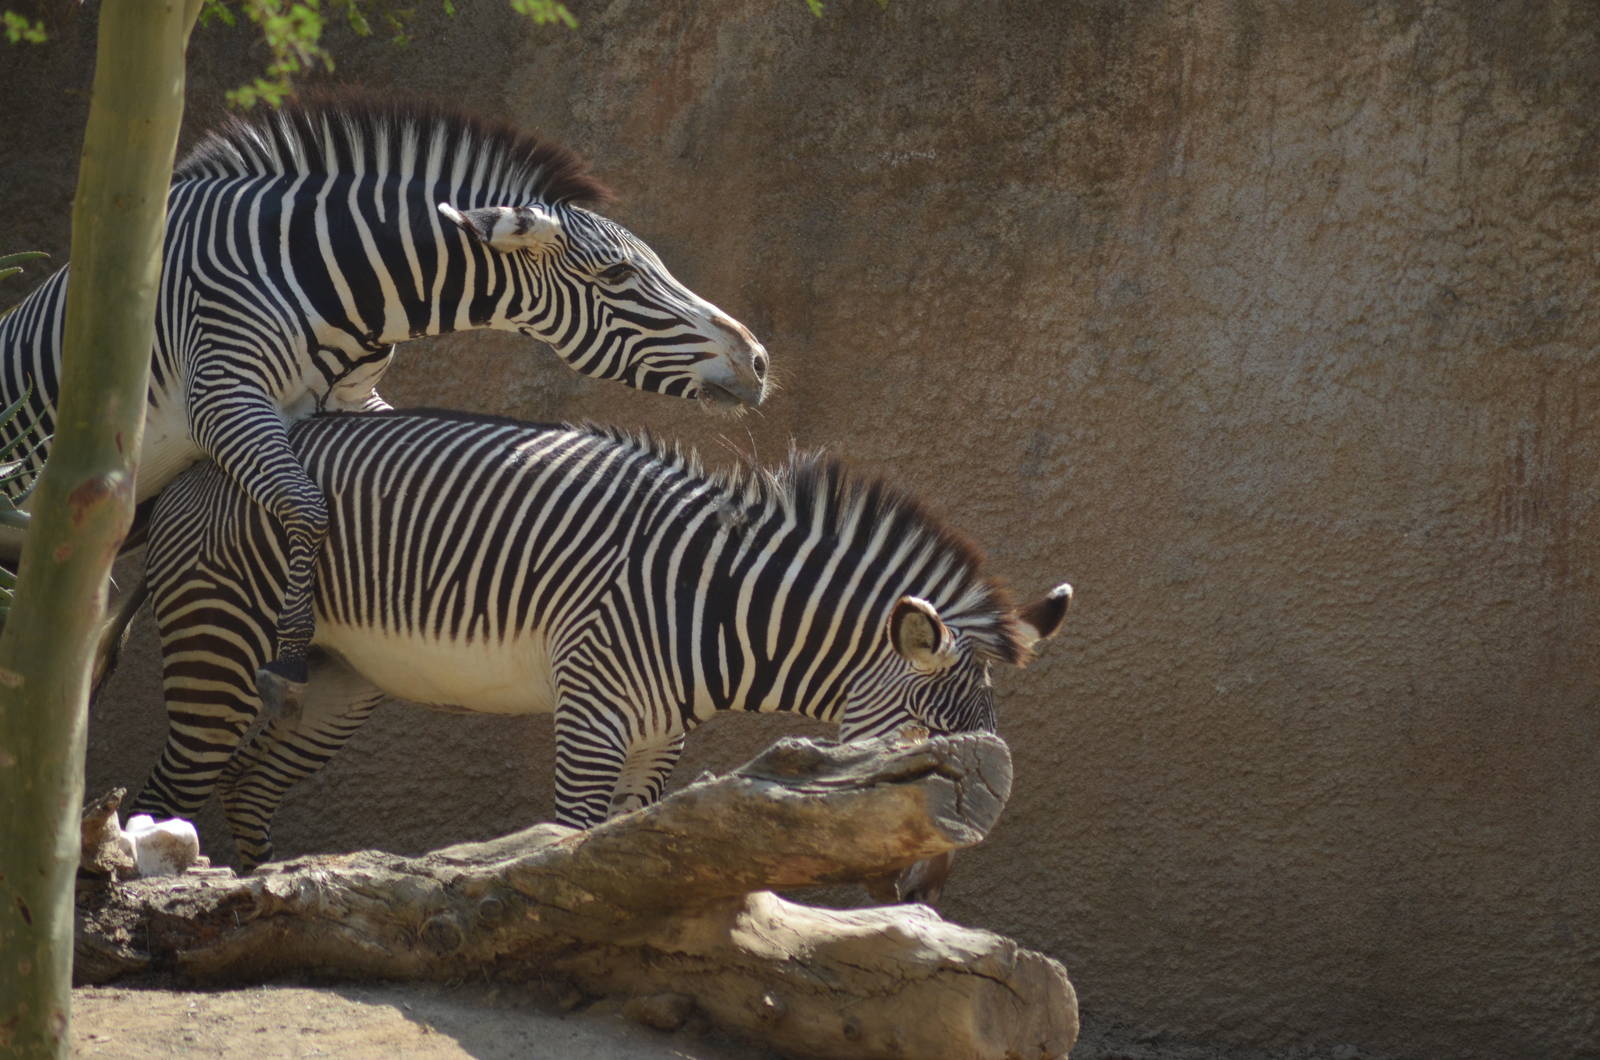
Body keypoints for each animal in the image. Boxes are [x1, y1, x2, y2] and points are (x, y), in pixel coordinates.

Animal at [0, 93, 768, 707]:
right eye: (616, 275)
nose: (758, 360)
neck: (324, 274)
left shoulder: (349, 400)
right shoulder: (221, 393)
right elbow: (307, 505)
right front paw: (290, 652)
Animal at [133, 409, 1072, 870]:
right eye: (921, 742)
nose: (933, 874)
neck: (714, 602)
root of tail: (194, 470)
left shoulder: (661, 735)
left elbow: (630, 836)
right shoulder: (594, 714)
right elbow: (570, 831)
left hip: (337, 681)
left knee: (248, 787)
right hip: (223, 639)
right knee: (170, 786)